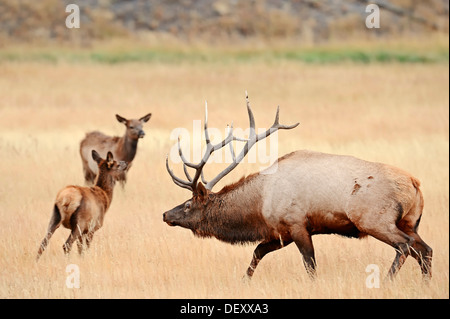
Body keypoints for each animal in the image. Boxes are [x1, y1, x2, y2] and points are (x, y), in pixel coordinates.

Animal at [164, 94, 432, 282]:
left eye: (187, 204)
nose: (166, 214)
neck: (259, 204)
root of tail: (415, 183)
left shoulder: (297, 224)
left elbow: (309, 264)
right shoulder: (279, 232)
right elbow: (257, 252)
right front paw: (243, 281)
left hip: (375, 220)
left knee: (405, 246)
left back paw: (387, 281)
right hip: (410, 221)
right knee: (426, 250)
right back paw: (425, 284)